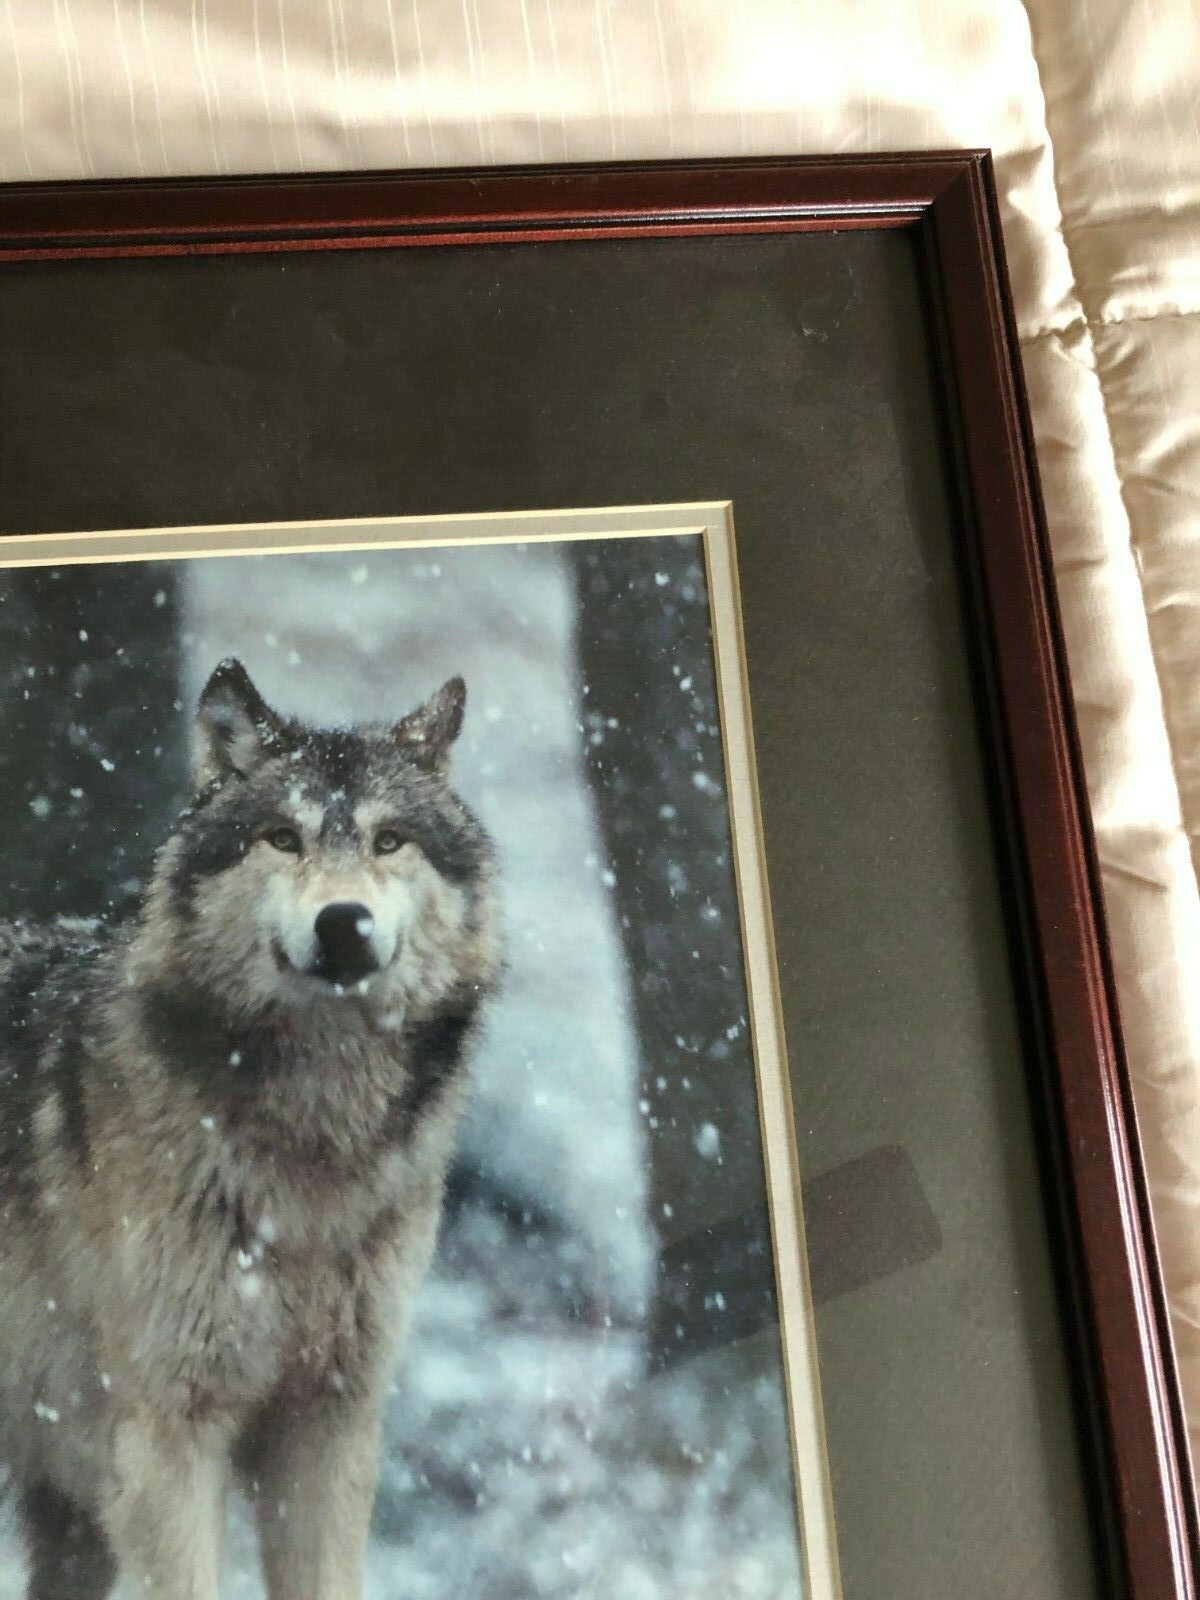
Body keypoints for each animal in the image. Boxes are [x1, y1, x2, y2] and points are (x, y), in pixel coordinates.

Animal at [0, 658, 500, 1600]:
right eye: (281, 838)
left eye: (388, 842)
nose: (345, 922)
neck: (310, 1152)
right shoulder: (168, 1433)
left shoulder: (328, 1423)